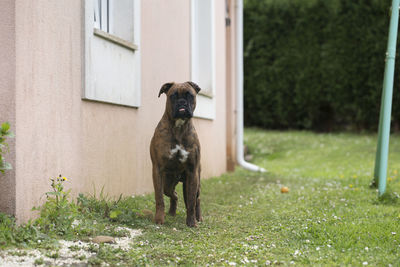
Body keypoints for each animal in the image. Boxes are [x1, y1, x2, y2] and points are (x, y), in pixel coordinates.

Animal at [150, 81, 202, 228]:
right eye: (173, 96)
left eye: (190, 95)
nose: (182, 102)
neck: (178, 127)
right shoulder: (157, 170)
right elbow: (159, 199)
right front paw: (159, 219)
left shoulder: (192, 172)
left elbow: (191, 201)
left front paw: (191, 222)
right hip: (167, 183)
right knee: (174, 194)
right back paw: (172, 212)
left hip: (195, 182)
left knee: (196, 199)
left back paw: (198, 217)